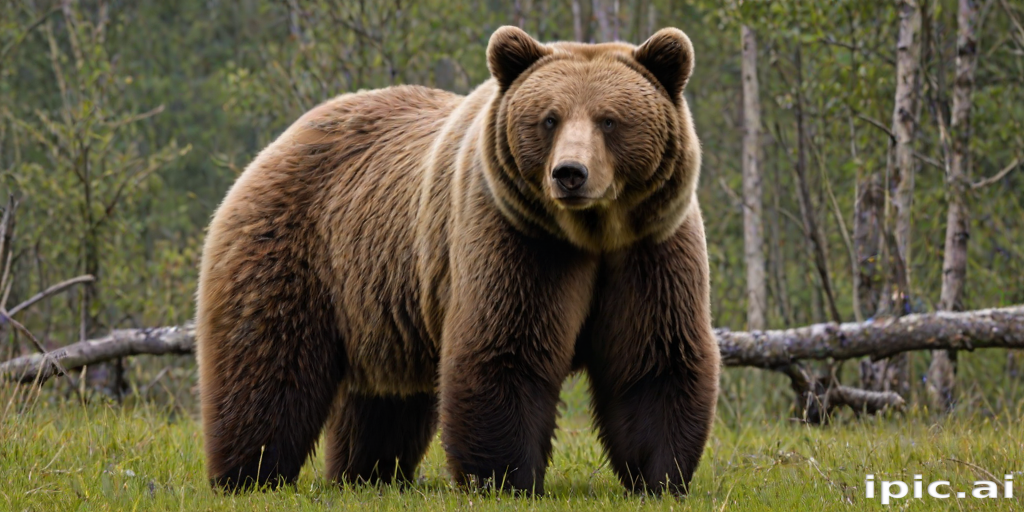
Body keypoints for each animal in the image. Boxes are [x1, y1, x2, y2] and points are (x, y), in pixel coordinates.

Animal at [196, 25, 720, 496]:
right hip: (297, 249)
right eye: (549, 118)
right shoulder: (515, 239)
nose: (570, 173)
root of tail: (281, 140)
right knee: (266, 363)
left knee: (385, 397)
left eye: (609, 120)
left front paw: (659, 476)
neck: (589, 232)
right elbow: (505, 347)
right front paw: (506, 479)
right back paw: (249, 474)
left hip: (380, 299)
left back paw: (368, 474)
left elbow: (652, 358)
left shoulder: (647, 249)